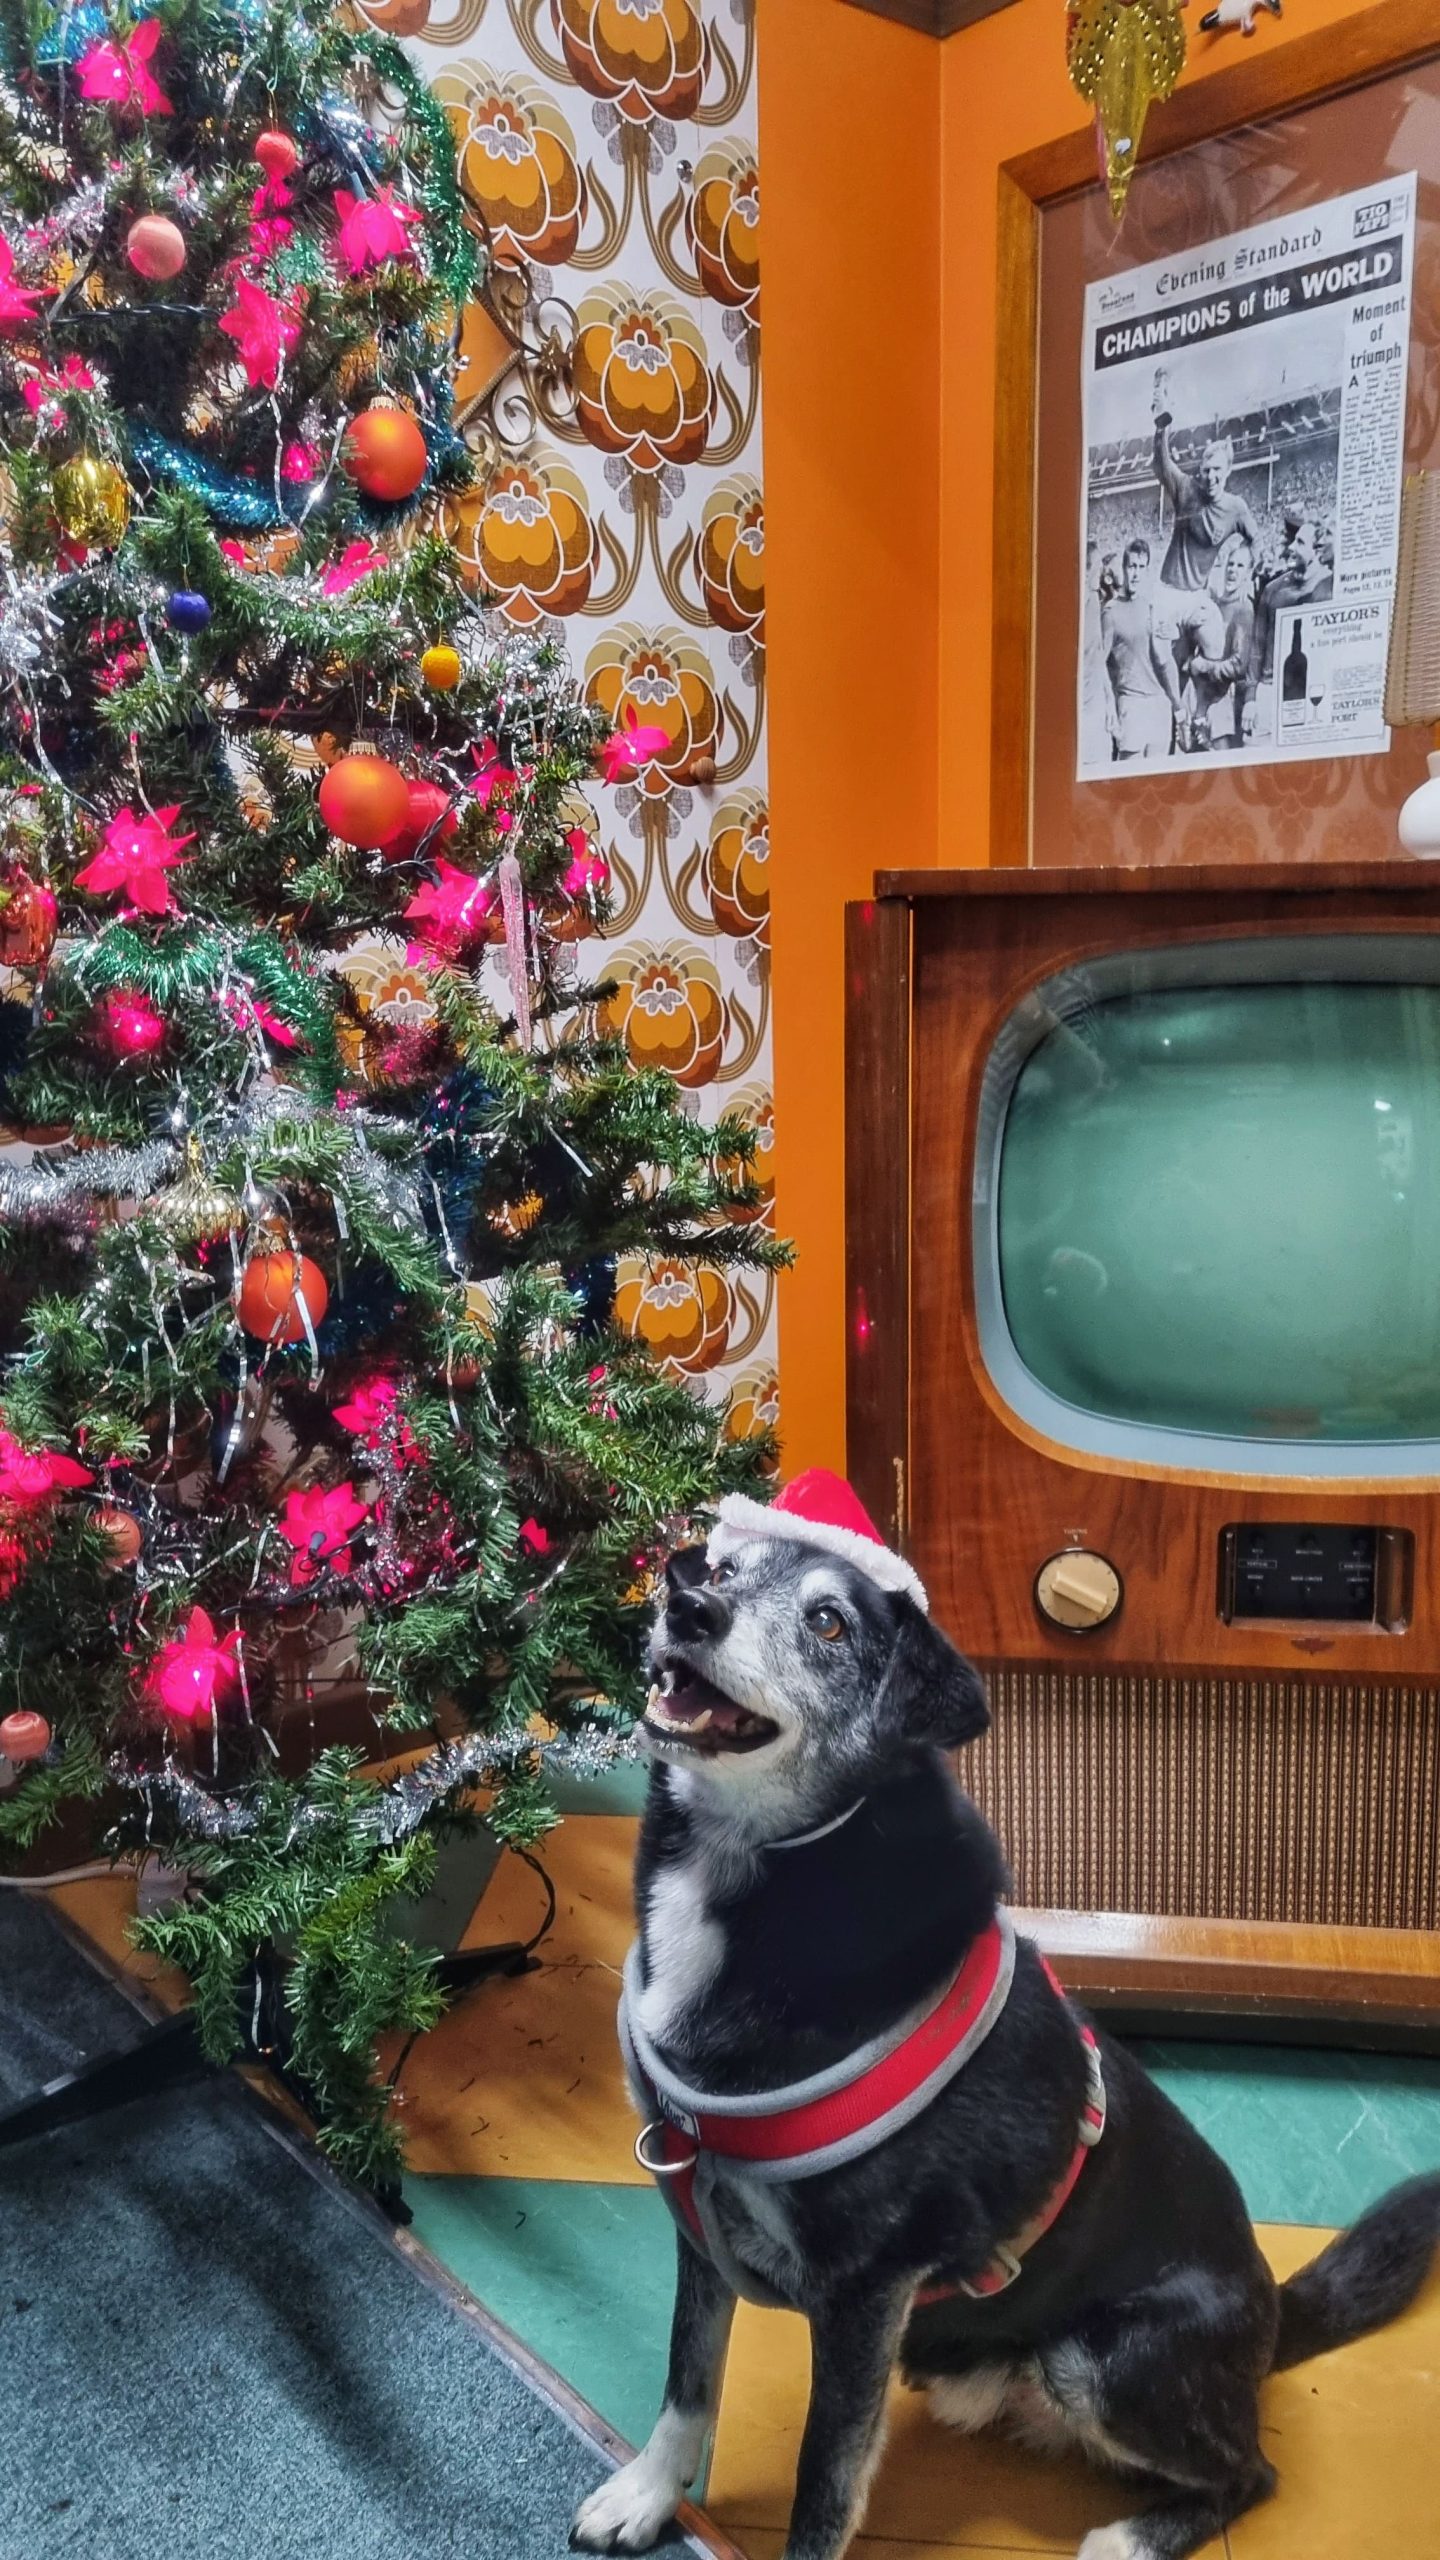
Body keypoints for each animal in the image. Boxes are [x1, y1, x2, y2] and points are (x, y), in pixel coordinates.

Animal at [568, 1495, 1434, 2560]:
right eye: (723, 1570)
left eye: (829, 1624)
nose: (686, 1604)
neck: (746, 1871)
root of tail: (1273, 2310)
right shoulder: (698, 2219)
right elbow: (688, 2378)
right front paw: (649, 2492)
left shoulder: (866, 2291)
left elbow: (824, 2482)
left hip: (1105, 2356)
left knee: (1251, 2472)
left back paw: (1134, 2536)